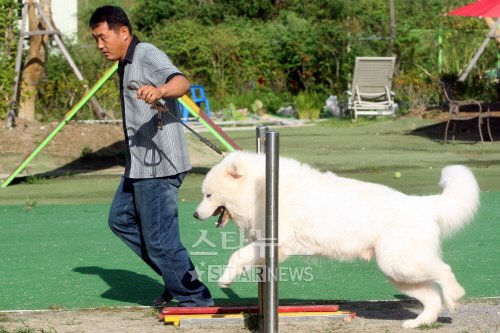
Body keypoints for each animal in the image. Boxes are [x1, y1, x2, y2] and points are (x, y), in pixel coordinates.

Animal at [193, 150, 478, 326]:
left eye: (208, 195)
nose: (195, 215)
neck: (258, 191)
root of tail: (423, 204)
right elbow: (245, 258)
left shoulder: (277, 243)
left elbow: (237, 255)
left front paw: (225, 279)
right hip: (398, 273)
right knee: (431, 296)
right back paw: (417, 323)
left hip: (400, 264)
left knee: (444, 272)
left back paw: (454, 295)